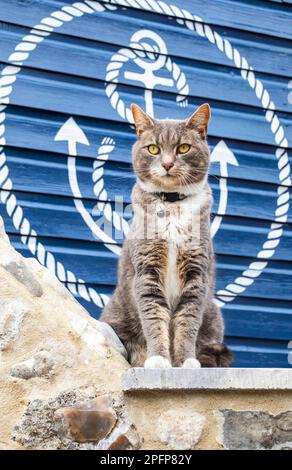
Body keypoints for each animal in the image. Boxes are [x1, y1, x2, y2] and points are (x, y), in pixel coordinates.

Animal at [101, 102, 234, 368]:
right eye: (153, 148)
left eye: (184, 148)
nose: (167, 164)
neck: (172, 205)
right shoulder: (147, 270)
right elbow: (153, 319)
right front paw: (158, 359)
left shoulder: (196, 274)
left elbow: (187, 323)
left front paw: (185, 362)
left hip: (214, 315)